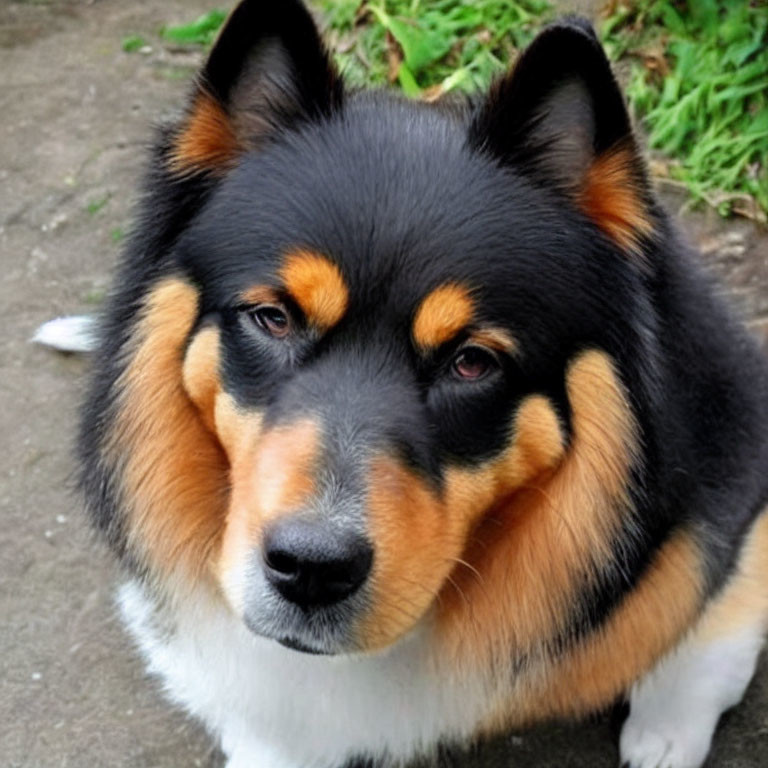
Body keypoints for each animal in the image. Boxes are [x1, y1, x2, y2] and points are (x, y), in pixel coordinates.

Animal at [73, 3, 768, 764]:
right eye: (274, 318)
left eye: (472, 361)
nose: (311, 569)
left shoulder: (735, 465)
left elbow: (712, 620)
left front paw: (666, 725)